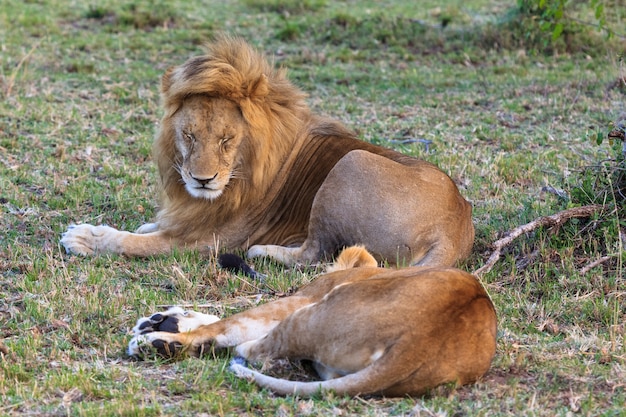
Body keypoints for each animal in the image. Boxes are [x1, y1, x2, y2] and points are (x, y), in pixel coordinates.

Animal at [62, 34, 472, 264]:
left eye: (227, 139)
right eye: (189, 136)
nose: (203, 180)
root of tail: (455, 227)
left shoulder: (210, 240)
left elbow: (138, 242)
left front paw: (85, 237)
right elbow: (156, 225)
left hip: (350, 163)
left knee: (316, 254)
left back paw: (264, 252)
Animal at [129, 245, 494, 398]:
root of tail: (418, 344)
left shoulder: (301, 298)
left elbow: (231, 324)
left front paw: (160, 331)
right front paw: (167, 321)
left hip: (311, 311)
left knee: (254, 348)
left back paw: (156, 345)